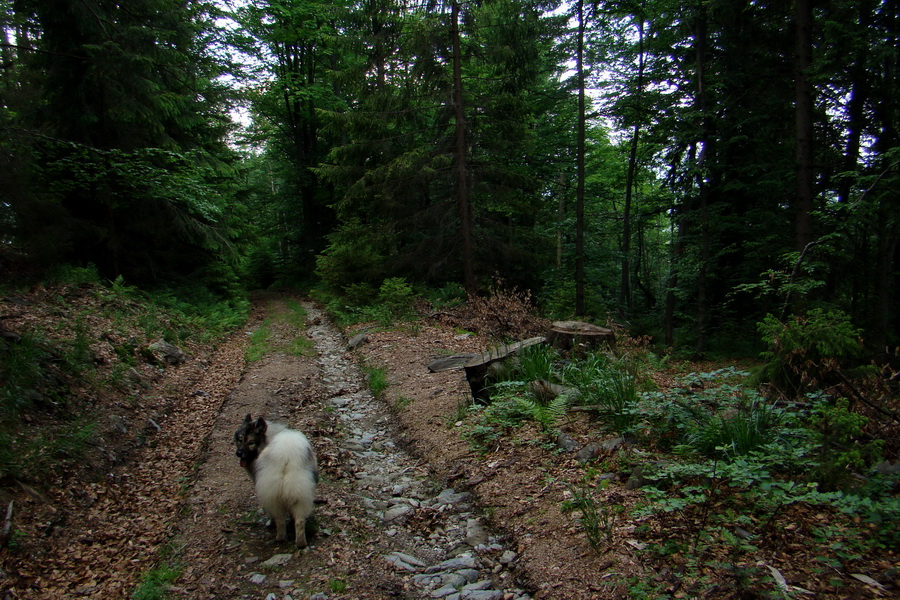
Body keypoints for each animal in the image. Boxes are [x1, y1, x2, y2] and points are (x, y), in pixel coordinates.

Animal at [234, 412, 318, 548]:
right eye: (240, 440)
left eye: (251, 442)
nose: (238, 453)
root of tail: (286, 456)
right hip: (297, 494)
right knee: (294, 521)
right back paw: (295, 542)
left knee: (282, 519)